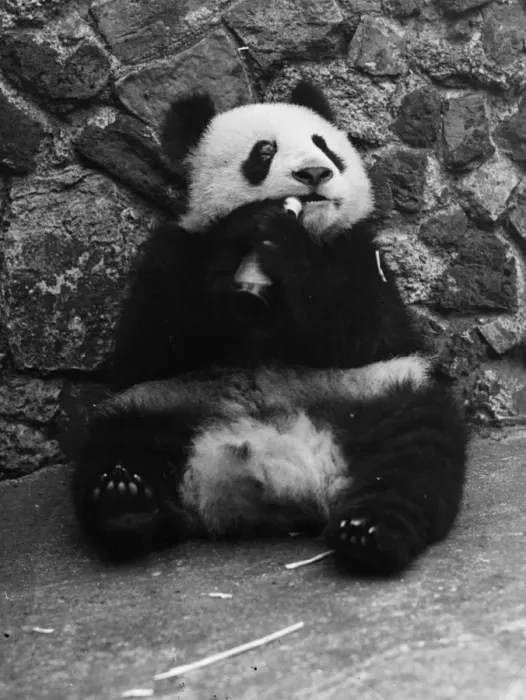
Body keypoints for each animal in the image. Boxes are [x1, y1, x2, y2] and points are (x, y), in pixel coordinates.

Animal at [72, 81, 468, 574]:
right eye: (264, 151)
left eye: (325, 146)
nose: (315, 173)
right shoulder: (172, 251)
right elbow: (147, 345)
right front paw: (242, 238)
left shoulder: (359, 252)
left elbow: (363, 329)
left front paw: (284, 244)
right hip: (165, 404)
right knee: (116, 442)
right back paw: (124, 503)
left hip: (376, 391)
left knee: (416, 447)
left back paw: (370, 532)